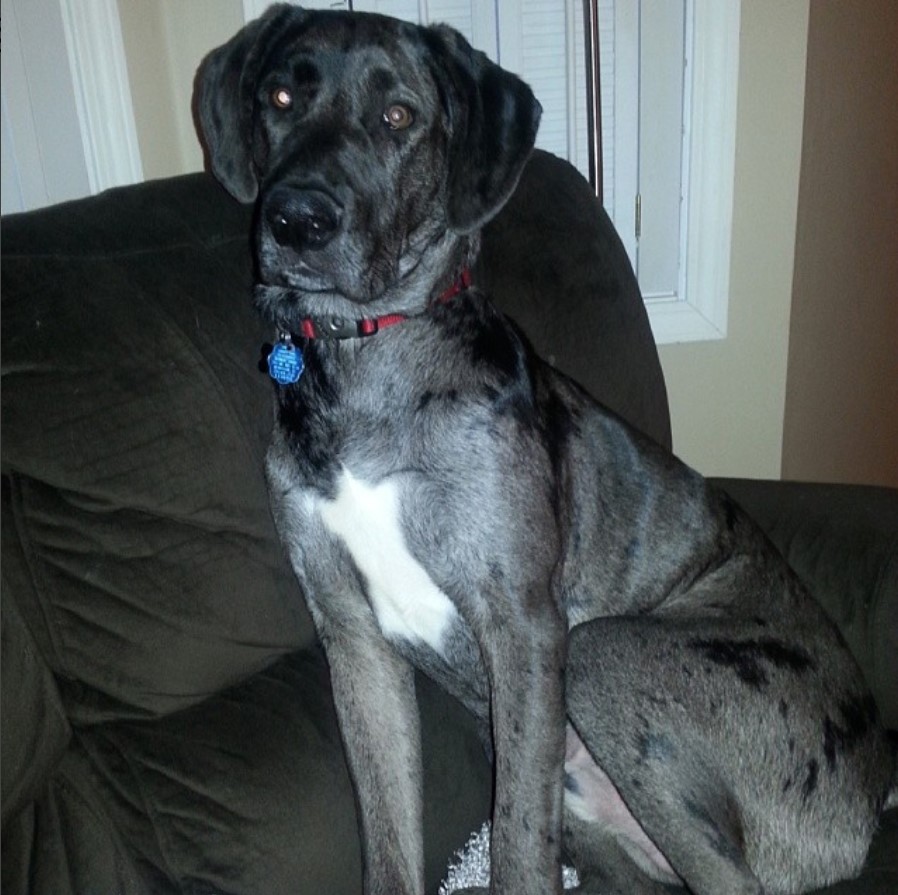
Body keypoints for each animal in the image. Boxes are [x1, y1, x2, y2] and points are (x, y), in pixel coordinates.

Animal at [194, 7, 888, 895]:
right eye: (280, 96)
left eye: (399, 116)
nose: (297, 220)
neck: (364, 363)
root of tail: (877, 794)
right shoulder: (354, 641)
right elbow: (389, 838)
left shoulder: (522, 624)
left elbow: (519, 850)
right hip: (597, 819)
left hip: (604, 657)